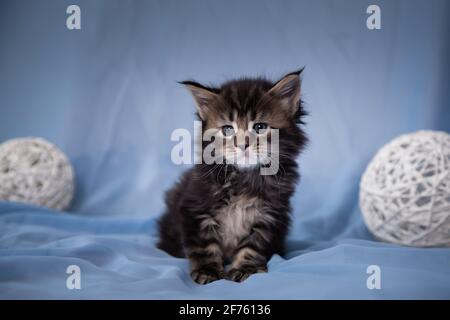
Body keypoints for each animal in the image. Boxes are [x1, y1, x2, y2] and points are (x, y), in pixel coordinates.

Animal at [156, 69, 308, 284]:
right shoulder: (194, 208)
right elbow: (204, 246)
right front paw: (208, 271)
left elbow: (254, 245)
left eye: (260, 127)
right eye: (227, 129)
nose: (242, 144)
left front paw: (246, 268)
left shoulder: (270, 215)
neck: (244, 178)